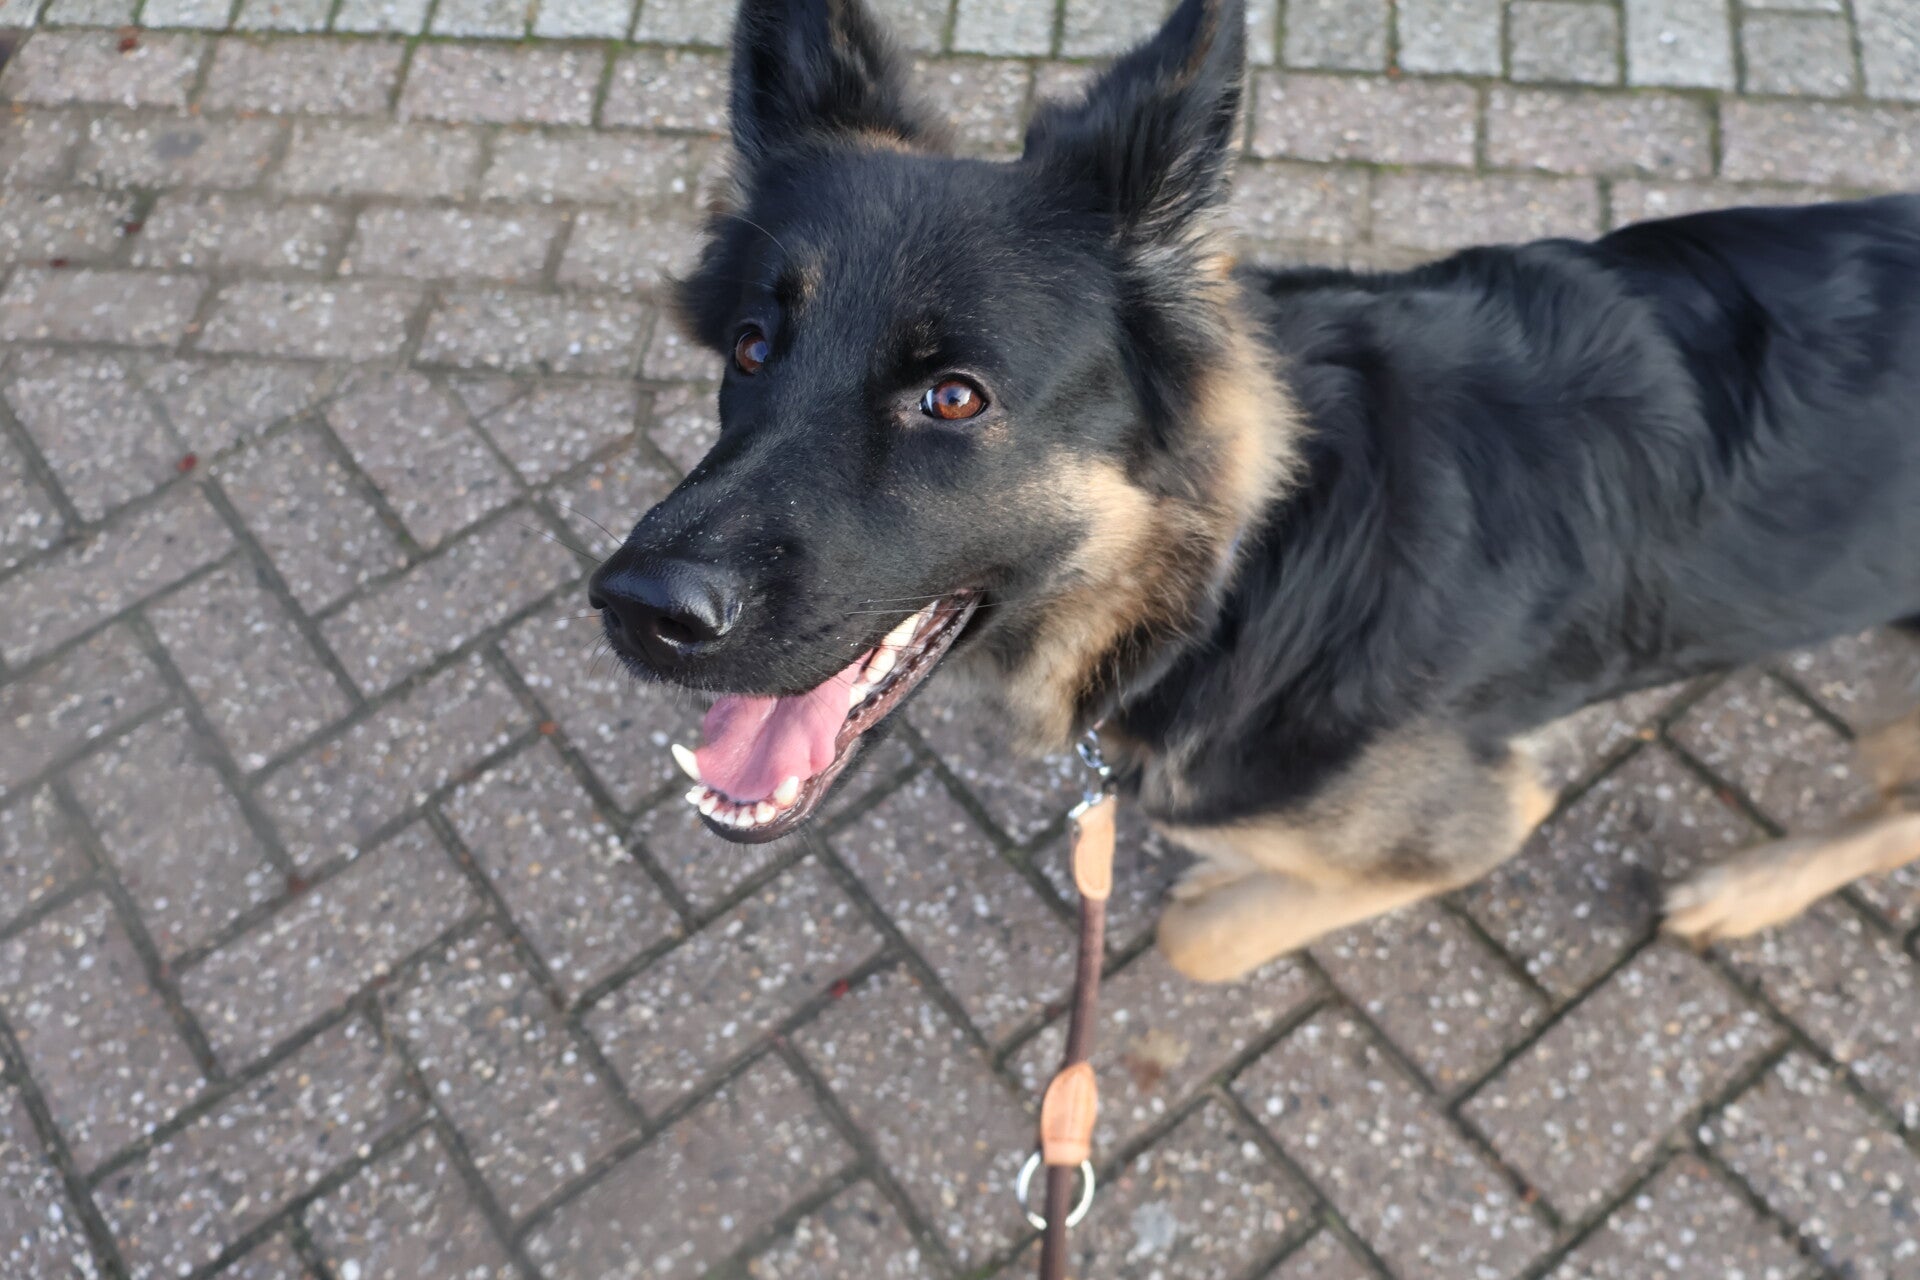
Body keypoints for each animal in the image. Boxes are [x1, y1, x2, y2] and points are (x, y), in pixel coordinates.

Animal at [589, 0, 1920, 982]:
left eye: (953, 397)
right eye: (752, 348)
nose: (636, 608)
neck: (1246, 569)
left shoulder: (1485, 815)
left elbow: (1200, 932)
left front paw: (1241, 878)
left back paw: (1746, 889)